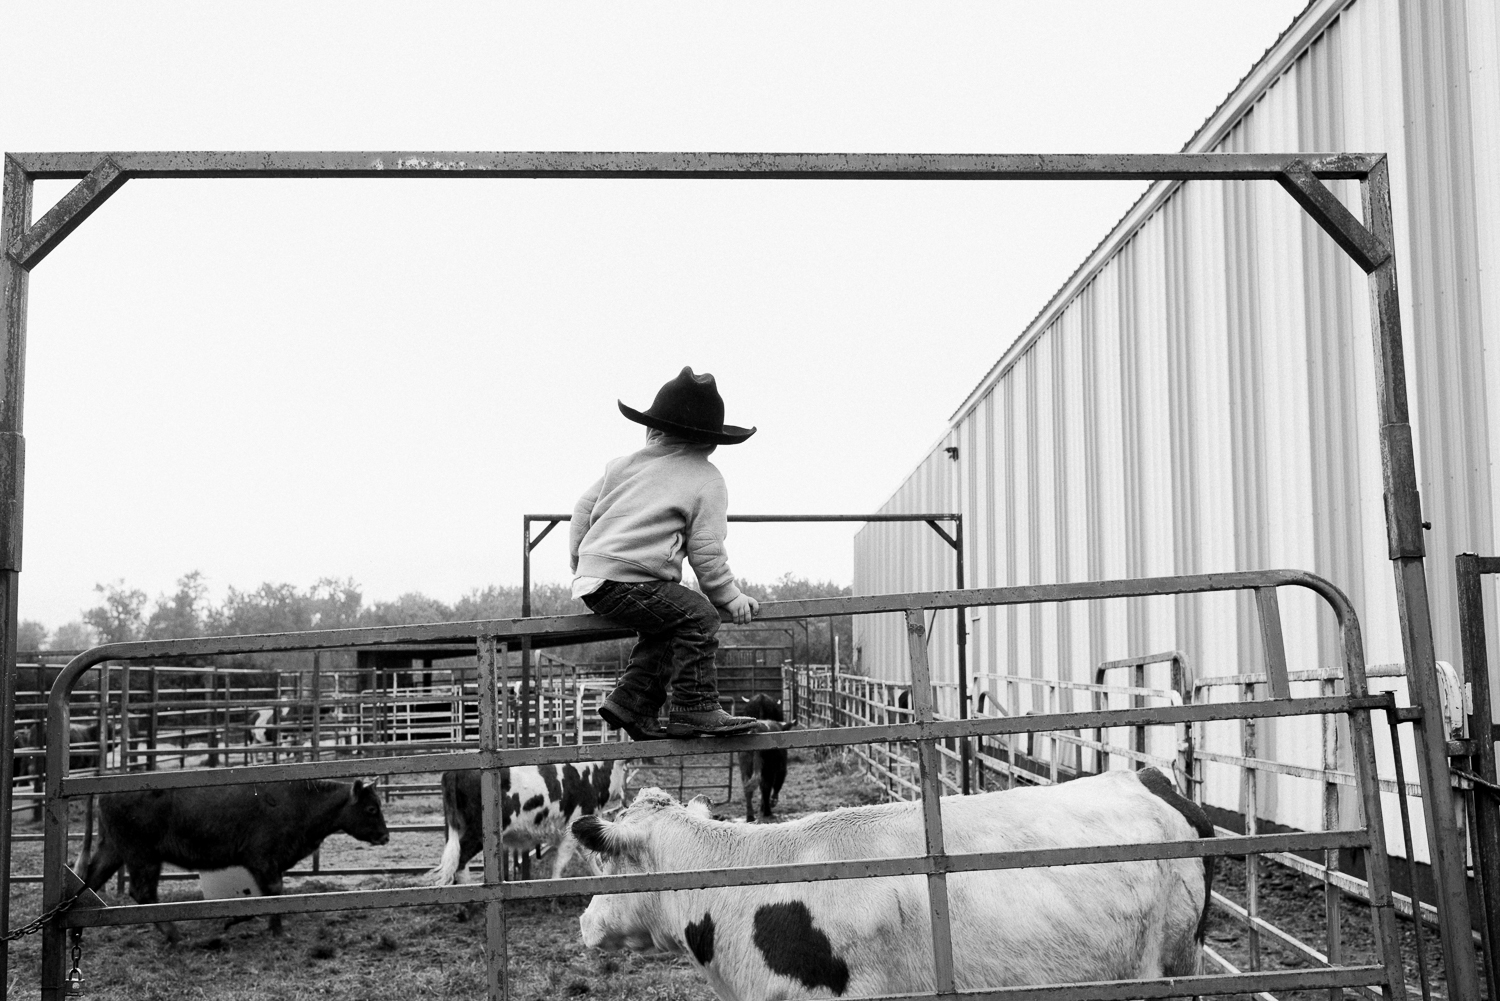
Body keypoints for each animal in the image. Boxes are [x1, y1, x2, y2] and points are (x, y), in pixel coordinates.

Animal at [82, 774, 390, 948]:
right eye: (371, 808)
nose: (385, 836)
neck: (300, 801)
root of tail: (106, 794)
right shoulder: (262, 860)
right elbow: (273, 893)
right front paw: (276, 931)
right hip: (142, 856)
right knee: (143, 893)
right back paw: (176, 936)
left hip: (113, 850)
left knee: (91, 881)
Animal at [429, 759, 627, 882]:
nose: (625, 798)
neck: (592, 774)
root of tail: (454, 772)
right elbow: (561, 863)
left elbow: (589, 858)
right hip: (477, 833)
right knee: (460, 861)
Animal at [738, 693, 798, 828]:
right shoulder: (781, 769)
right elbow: (775, 785)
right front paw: (771, 803)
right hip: (769, 769)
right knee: (766, 786)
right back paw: (766, 811)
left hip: (745, 767)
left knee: (748, 788)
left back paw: (750, 816)